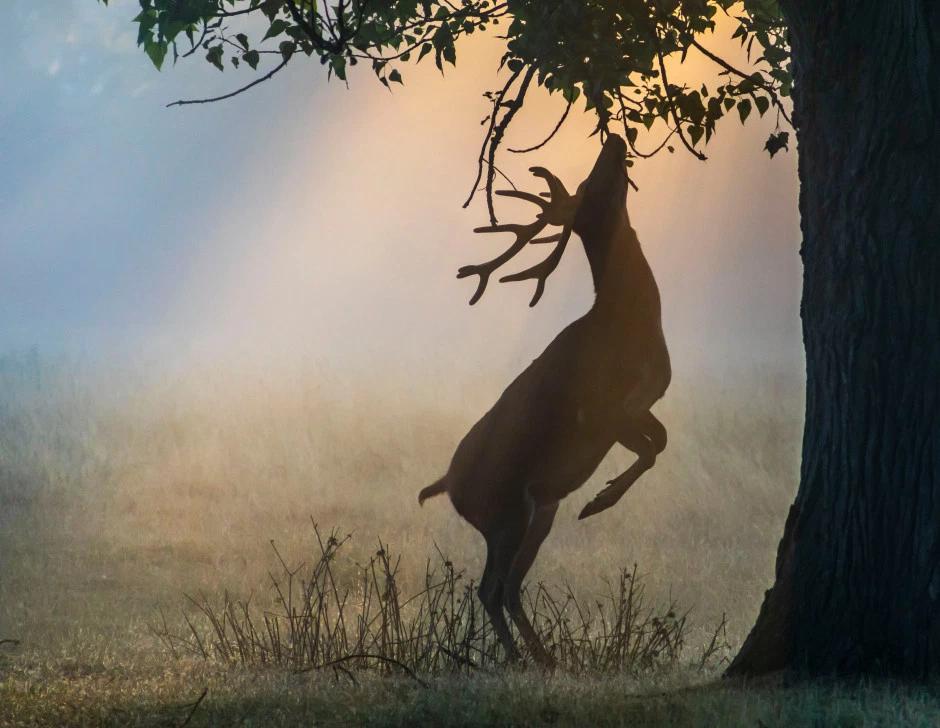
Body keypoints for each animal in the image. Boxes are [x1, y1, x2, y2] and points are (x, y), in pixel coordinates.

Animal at [416, 134, 668, 668]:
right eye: (592, 184)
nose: (614, 138)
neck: (633, 326)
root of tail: (446, 485)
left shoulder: (642, 403)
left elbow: (660, 441)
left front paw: (601, 497)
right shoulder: (601, 410)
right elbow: (653, 448)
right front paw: (599, 500)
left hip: (537, 512)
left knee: (510, 586)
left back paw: (545, 659)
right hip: (504, 512)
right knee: (490, 588)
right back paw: (519, 659)